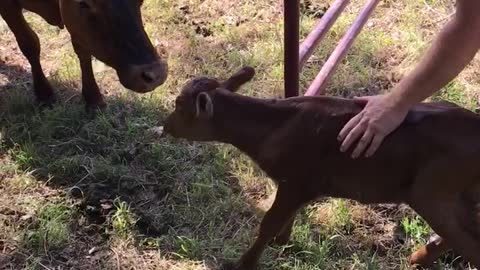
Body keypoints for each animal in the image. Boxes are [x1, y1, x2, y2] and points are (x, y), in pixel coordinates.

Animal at [0, 0, 167, 109]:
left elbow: (83, 52)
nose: (156, 74)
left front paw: (93, 98)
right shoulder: (7, 5)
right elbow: (29, 43)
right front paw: (43, 93)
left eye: (140, 0)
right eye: (83, 2)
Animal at [162, 66, 480, 268]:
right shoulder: (300, 187)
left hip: (432, 193)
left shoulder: (297, 181)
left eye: (179, 105)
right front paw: (282, 242)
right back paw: (419, 259)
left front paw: (243, 264)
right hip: (458, 197)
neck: (273, 127)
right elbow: (284, 218)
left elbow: (267, 223)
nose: (165, 125)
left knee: (468, 240)